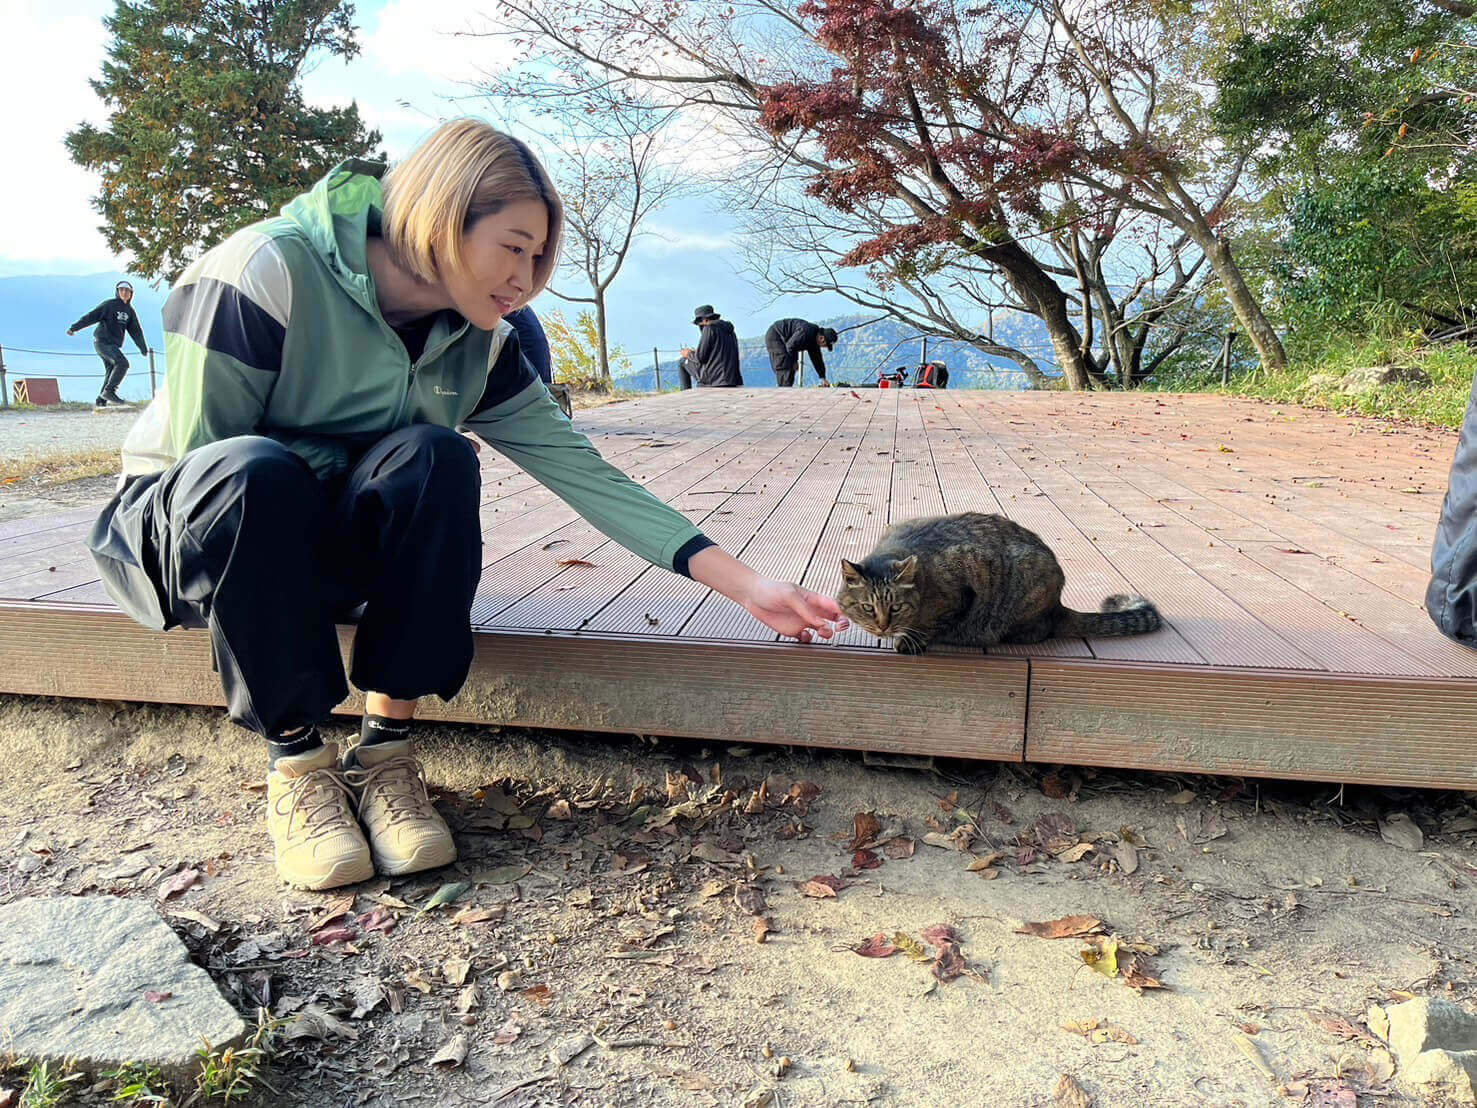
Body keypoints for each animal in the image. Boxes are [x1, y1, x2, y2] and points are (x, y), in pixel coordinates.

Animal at [838, 514, 1157, 655]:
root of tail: (1058, 604)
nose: (882, 627)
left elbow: (933, 624)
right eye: (868, 607)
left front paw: (911, 640)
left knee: (1039, 630)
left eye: (896, 607)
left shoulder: (964, 584)